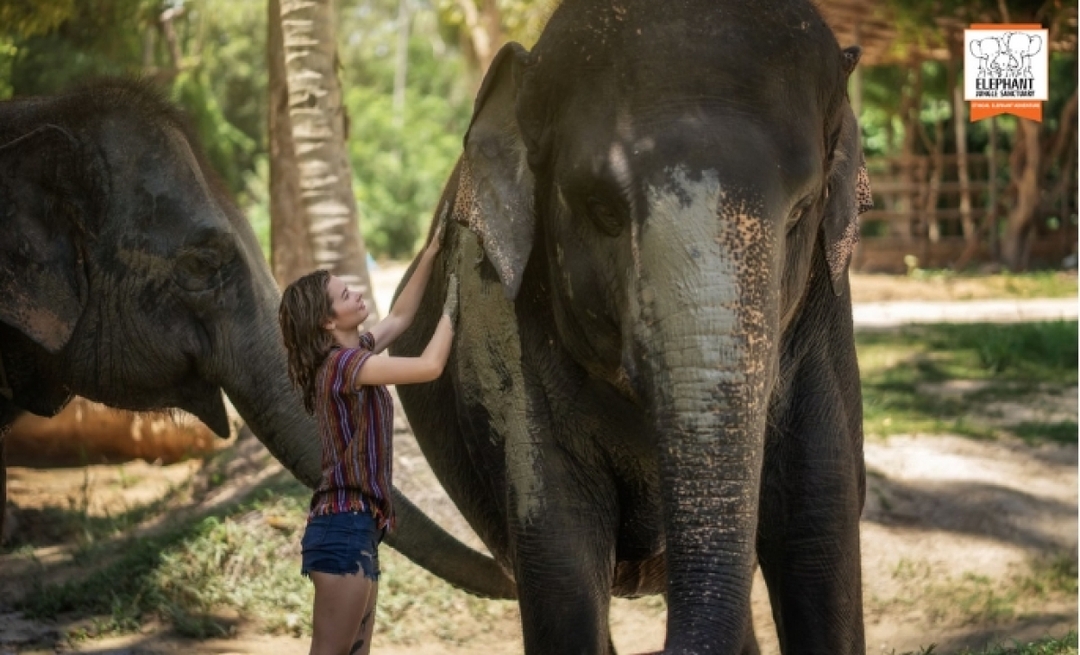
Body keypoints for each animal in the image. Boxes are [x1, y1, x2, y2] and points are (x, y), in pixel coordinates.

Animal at [390, 0, 873, 653]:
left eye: (801, 211)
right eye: (602, 210)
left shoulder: (823, 324)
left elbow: (818, 538)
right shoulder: (509, 327)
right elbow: (562, 568)